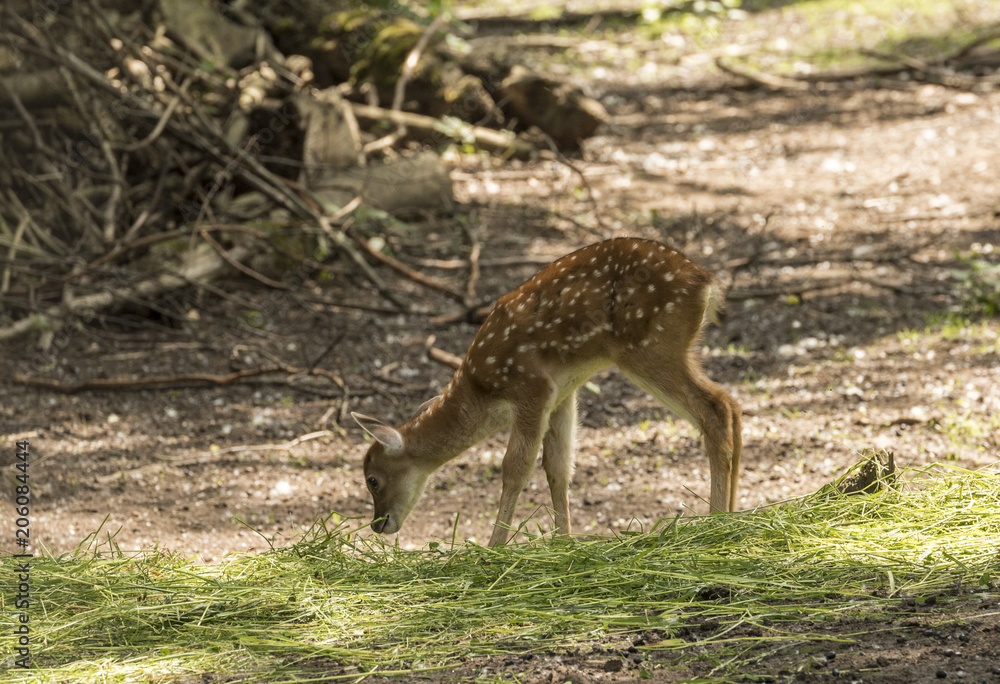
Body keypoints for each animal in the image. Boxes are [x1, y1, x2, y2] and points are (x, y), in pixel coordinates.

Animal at [353, 237, 742, 547]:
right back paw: (735, 515)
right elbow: (558, 466)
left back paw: (715, 520)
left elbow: (515, 467)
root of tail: (707, 284)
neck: (481, 393)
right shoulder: (563, 393)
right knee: (733, 403)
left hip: (652, 347)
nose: (377, 524)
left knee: (715, 406)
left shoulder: (530, 386)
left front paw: (494, 546)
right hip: (674, 349)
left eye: (373, 480)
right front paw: (563, 541)